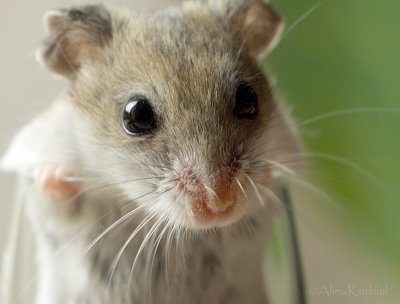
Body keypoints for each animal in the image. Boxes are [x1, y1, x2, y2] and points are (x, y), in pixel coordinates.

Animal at [1, 1, 302, 302]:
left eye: (248, 99)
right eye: (136, 115)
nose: (220, 205)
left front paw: (266, 176)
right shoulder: (57, 214)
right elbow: (59, 197)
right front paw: (53, 175)